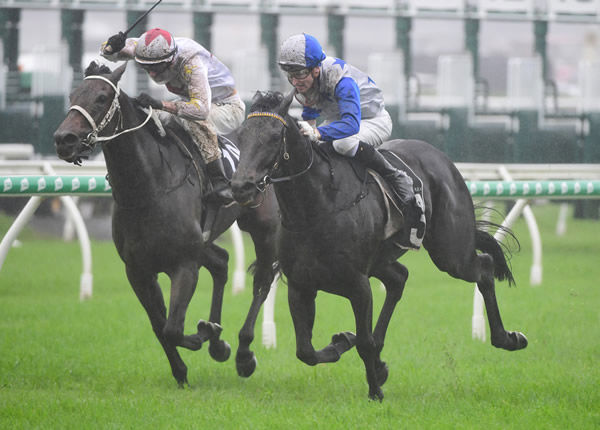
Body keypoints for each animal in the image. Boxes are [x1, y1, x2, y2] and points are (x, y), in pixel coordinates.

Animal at [53, 62, 282, 384]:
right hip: (203, 241)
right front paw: (183, 370)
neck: (148, 188)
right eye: (73, 95)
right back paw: (219, 344)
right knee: (221, 262)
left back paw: (243, 354)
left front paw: (205, 335)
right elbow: (159, 326)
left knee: (262, 280)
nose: (64, 139)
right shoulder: (138, 271)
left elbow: (173, 327)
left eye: (101, 98)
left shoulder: (183, 265)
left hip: (264, 227)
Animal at [232, 90, 528, 400]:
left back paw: (508, 338)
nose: (241, 186)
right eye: (241, 135)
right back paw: (380, 362)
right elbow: (306, 351)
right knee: (399, 278)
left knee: (484, 266)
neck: (316, 207)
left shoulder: (358, 284)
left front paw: (374, 390)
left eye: (274, 136)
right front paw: (344, 343)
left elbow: (363, 341)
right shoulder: (302, 284)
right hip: (384, 260)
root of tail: (442, 159)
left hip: (451, 252)